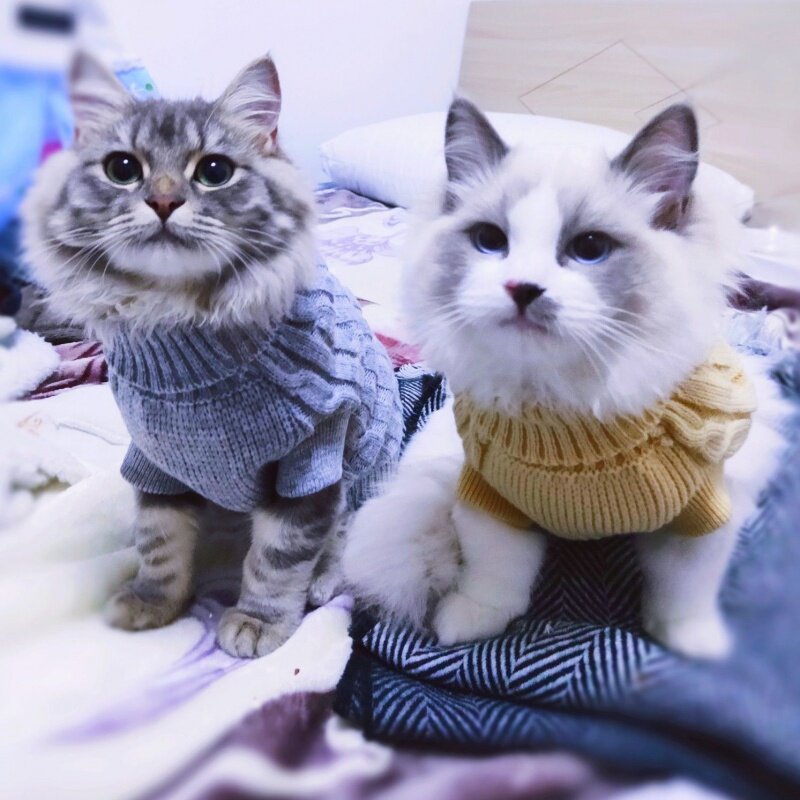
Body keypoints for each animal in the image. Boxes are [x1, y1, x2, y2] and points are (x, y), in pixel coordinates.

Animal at [21, 52, 403, 658]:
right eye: (122, 168)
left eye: (215, 171)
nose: (163, 201)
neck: (178, 321)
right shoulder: (155, 461)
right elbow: (159, 544)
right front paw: (153, 603)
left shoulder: (310, 466)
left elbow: (277, 561)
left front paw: (259, 623)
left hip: (368, 475)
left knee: (349, 542)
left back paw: (325, 583)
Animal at [344, 98, 789, 659]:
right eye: (490, 241)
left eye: (590, 247)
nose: (522, 288)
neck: (565, 414)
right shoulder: (492, 503)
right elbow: (495, 577)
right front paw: (469, 625)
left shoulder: (697, 519)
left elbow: (684, 597)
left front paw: (695, 647)